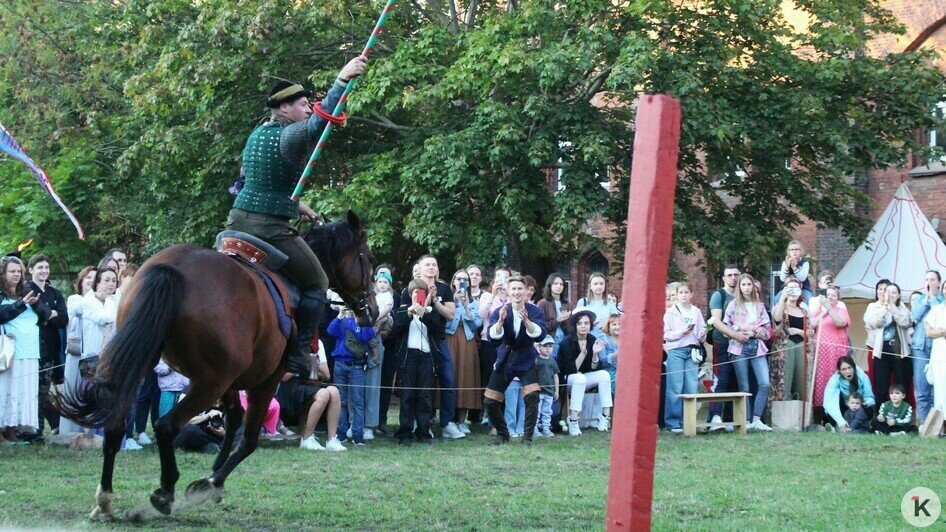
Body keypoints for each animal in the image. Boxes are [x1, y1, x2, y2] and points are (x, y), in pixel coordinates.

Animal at [54, 211, 372, 520]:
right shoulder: (264, 380)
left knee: (115, 425)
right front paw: (210, 483)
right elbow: (249, 439)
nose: (369, 311)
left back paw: (105, 501)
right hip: (207, 383)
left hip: (148, 361)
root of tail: (174, 268)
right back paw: (165, 492)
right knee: (166, 425)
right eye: (366, 259)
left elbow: (233, 417)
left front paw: (215, 471)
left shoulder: (230, 379)